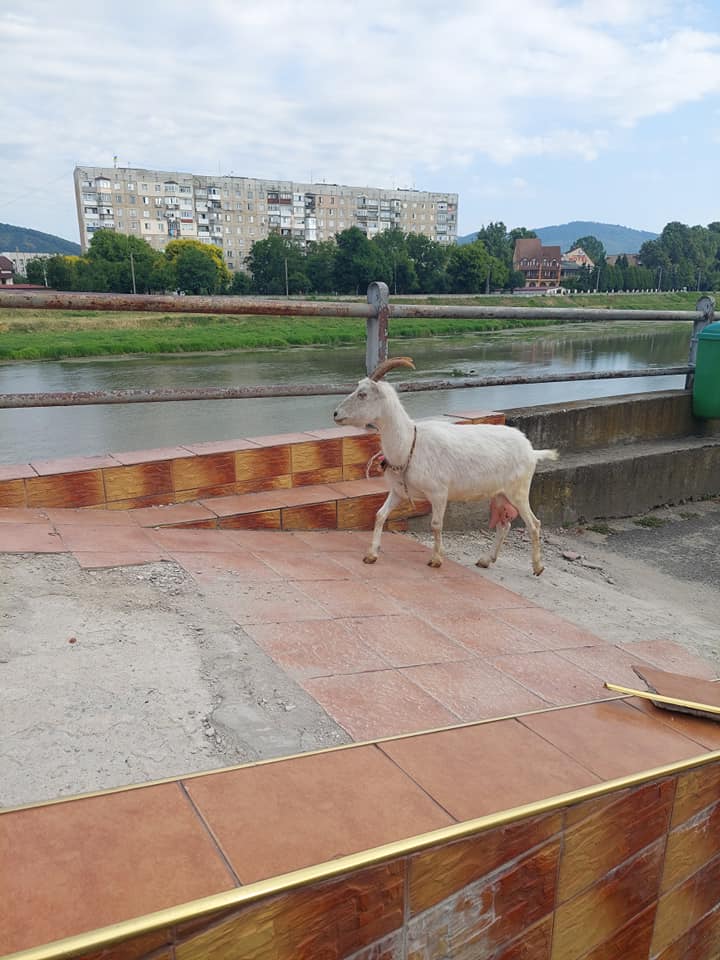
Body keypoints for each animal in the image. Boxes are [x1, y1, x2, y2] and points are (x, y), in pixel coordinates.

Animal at [334, 356, 560, 572]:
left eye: (362, 394)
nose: (335, 414)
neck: (409, 444)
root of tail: (531, 450)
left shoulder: (439, 493)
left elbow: (436, 524)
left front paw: (436, 559)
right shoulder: (398, 492)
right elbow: (380, 515)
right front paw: (371, 555)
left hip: (518, 491)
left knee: (534, 524)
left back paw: (537, 567)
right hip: (499, 493)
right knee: (504, 525)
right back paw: (486, 560)